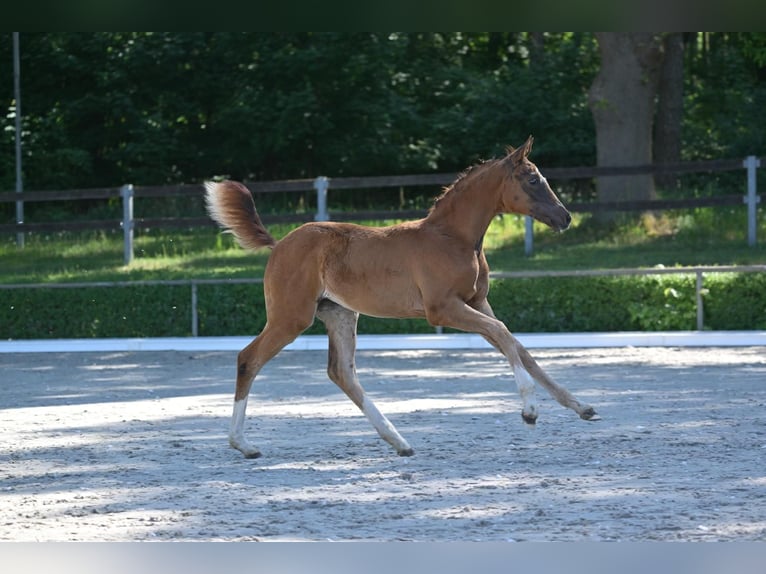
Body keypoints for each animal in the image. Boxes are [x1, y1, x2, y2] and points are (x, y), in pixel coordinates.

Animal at [205, 136, 599, 459]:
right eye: (533, 180)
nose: (565, 217)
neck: (451, 238)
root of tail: (279, 244)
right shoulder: (443, 309)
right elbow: (504, 334)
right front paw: (530, 410)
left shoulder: (476, 303)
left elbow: (517, 346)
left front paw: (581, 407)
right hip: (291, 317)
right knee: (249, 359)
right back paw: (243, 444)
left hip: (340, 314)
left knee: (341, 373)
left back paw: (399, 441)